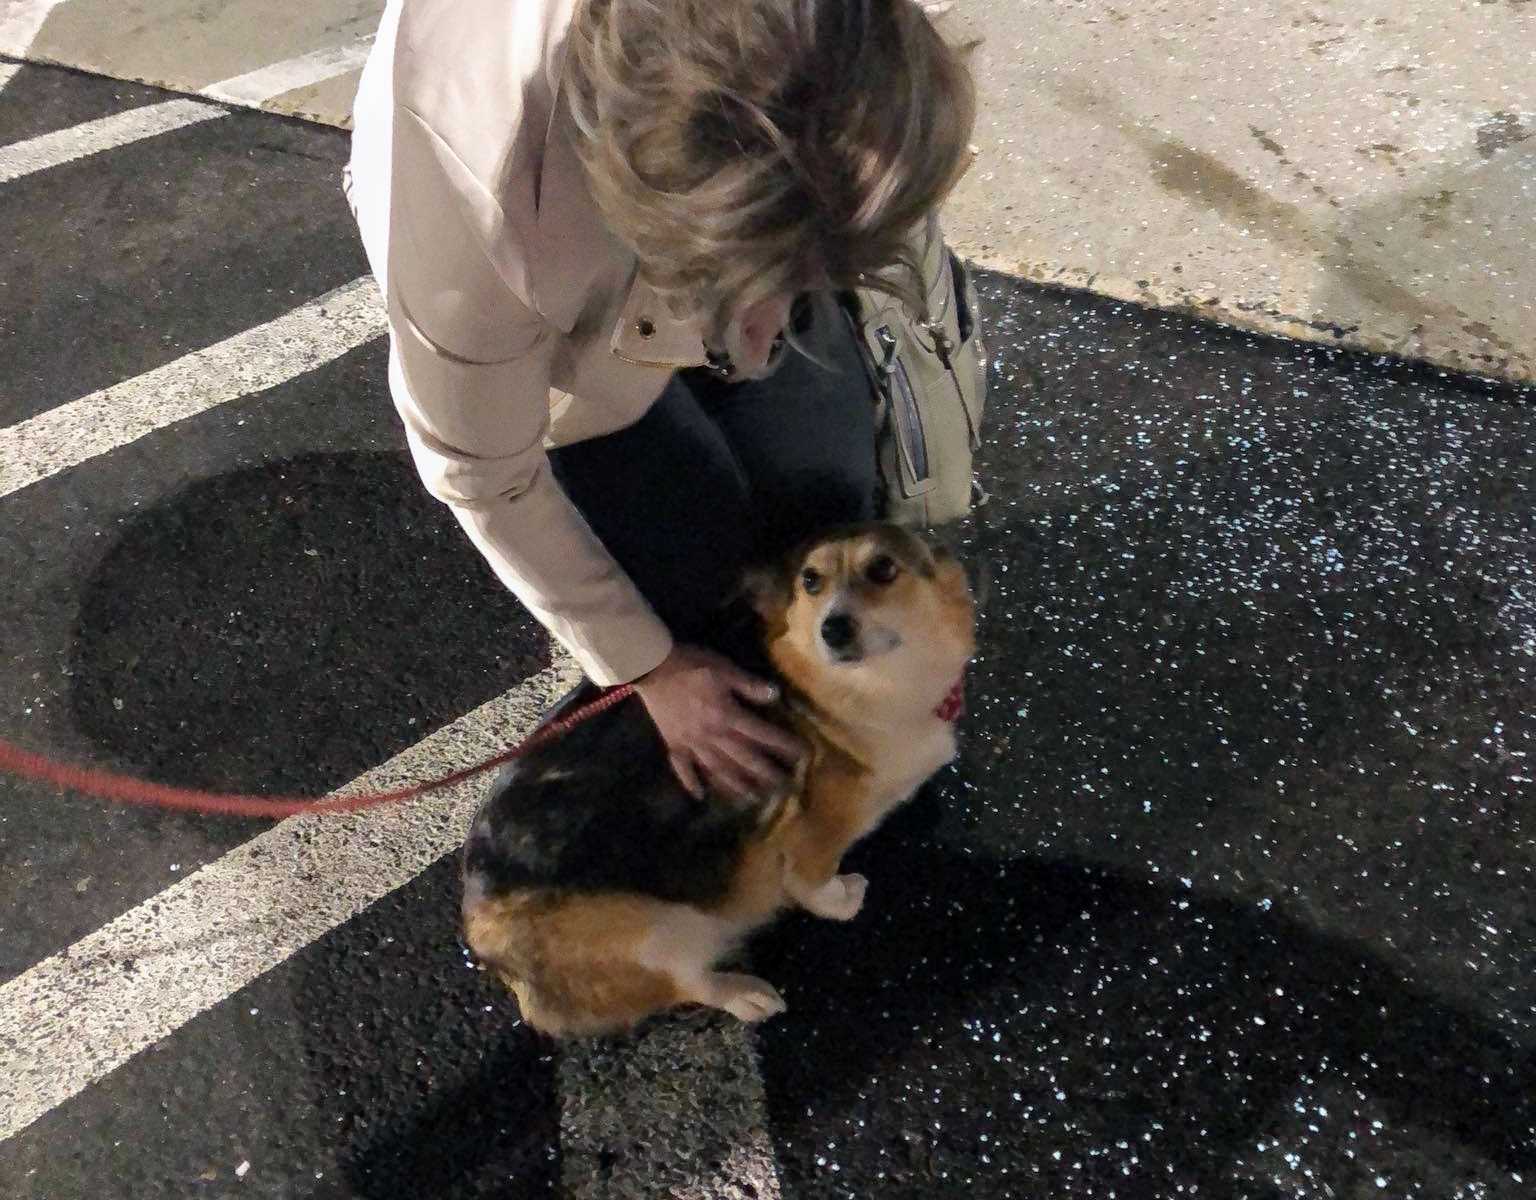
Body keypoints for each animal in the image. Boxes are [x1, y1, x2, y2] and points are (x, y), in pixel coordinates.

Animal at [460, 525, 976, 1038]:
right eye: (810, 581)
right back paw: (744, 993)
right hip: (657, 930)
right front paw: (842, 899)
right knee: (684, 981)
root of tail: (480, 937)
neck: (852, 687)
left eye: (883, 568)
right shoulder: (815, 833)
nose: (833, 629)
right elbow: (815, 882)